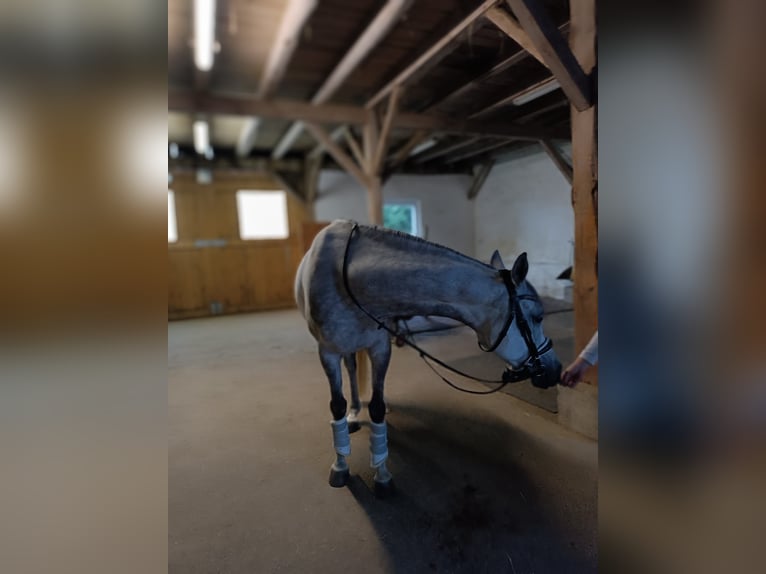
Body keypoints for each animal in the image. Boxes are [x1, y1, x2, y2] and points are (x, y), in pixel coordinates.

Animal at [296, 220, 564, 500]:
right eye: (538, 317)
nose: (556, 370)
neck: (348, 278)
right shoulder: (327, 352)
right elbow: (336, 405)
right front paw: (340, 467)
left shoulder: (380, 347)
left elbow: (377, 407)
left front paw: (382, 475)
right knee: (350, 370)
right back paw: (354, 413)